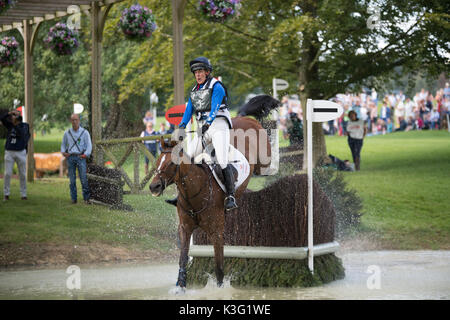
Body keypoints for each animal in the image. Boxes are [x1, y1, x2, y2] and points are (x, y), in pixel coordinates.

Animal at [149, 94, 280, 288]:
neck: (195, 194)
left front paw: (220, 289)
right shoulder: (185, 229)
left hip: (263, 162)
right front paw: (179, 287)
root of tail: (242, 117)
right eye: (158, 161)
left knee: (267, 168)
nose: (154, 187)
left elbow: (219, 267)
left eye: (171, 163)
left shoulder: (217, 232)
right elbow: (182, 260)